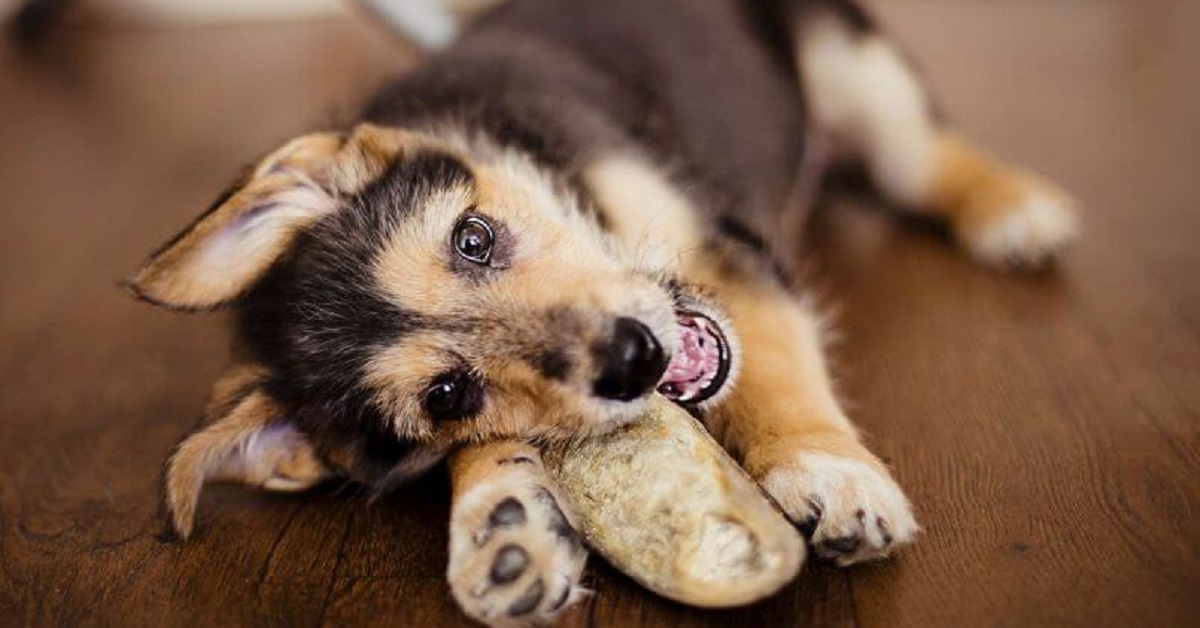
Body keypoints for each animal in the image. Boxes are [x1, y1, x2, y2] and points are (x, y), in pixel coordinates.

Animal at [131, 0, 1080, 624]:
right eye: (448, 397)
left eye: (473, 238)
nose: (634, 358)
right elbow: (489, 455)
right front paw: (502, 524)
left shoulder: (720, 251)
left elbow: (774, 367)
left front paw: (827, 470)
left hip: (852, 64)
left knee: (918, 155)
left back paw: (1012, 209)